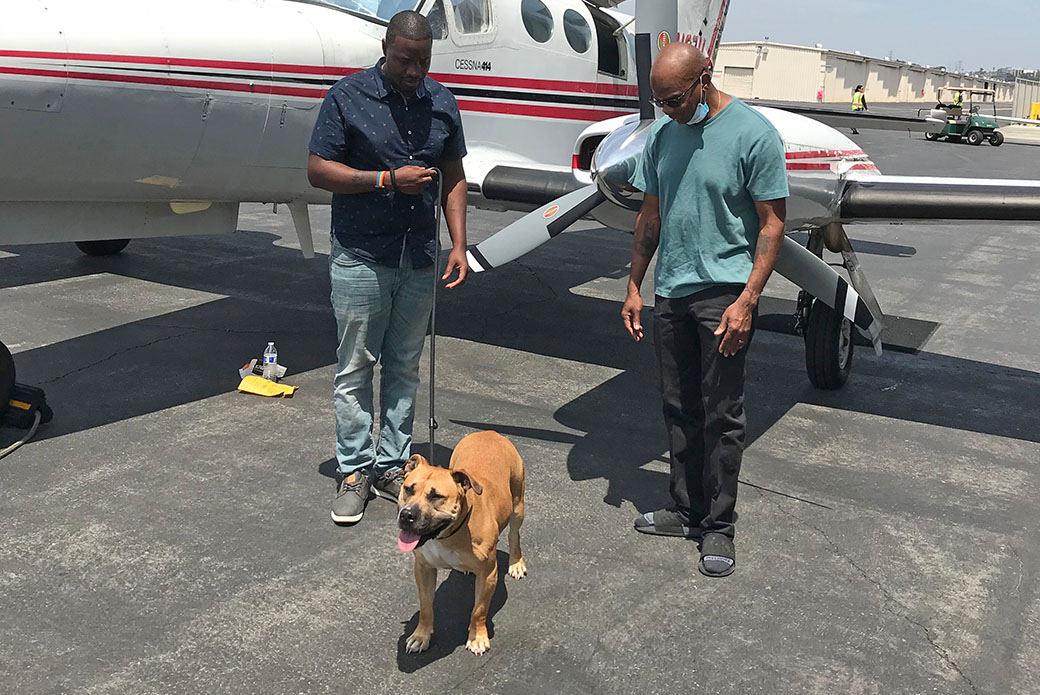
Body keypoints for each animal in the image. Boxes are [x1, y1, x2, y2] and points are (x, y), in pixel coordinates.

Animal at [397, 430, 528, 653]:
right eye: (408, 489)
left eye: (436, 496)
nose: (407, 515)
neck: (446, 535)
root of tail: (490, 433)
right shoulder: (423, 568)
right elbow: (425, 606)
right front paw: (420, 636)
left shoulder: (488, 574)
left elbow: (479, 610)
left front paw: (477, 638)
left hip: (517, 504)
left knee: (514, 535)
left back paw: (516, 563)